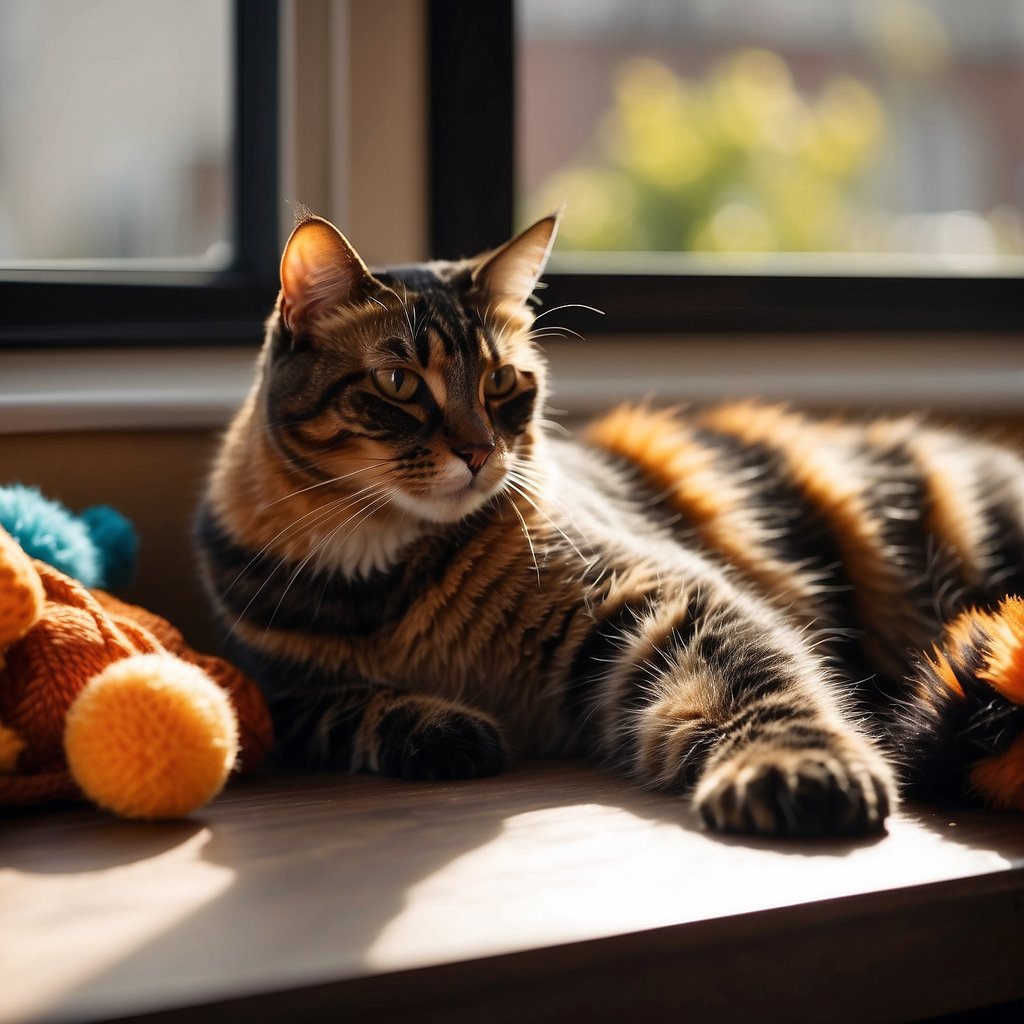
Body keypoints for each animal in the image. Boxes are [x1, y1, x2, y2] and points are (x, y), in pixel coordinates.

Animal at [195, 211, 1024, 835]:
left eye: (503, 382)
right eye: (399, 383)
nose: (479, 452)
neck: (387, 571)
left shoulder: (664, 592)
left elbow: (760, 680)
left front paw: (795, 766)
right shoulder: (276, 692)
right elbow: (350, 708)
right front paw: (445, 730)